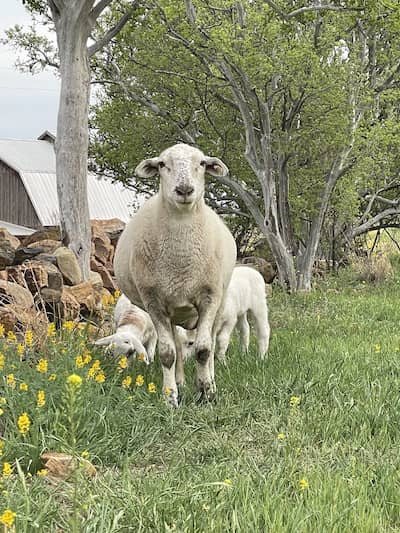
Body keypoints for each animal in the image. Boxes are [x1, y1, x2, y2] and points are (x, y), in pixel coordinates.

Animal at [114, 143, 236, 406]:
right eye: (162, 164)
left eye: (202, 163)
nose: (184, 190)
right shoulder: (154, 302)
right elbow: (167, 353)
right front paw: (170, 397)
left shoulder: (209, 297)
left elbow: (203, 349)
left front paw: (206, 392)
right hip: (171, 311)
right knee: (178, 346)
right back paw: (179, 382)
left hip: (219, 301)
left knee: (210, 342)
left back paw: (210, 379)